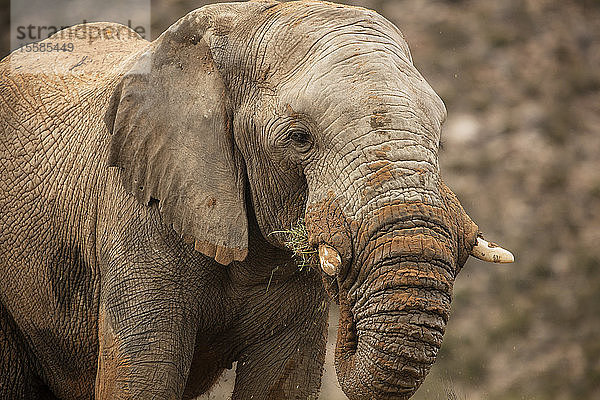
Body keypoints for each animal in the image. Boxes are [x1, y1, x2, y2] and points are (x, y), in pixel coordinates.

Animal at [1, 0, 510, 400]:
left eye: (439, 132)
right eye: (299, 138)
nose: (347, 302)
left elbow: (283, 381)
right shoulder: (137, 223)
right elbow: (145, 380)